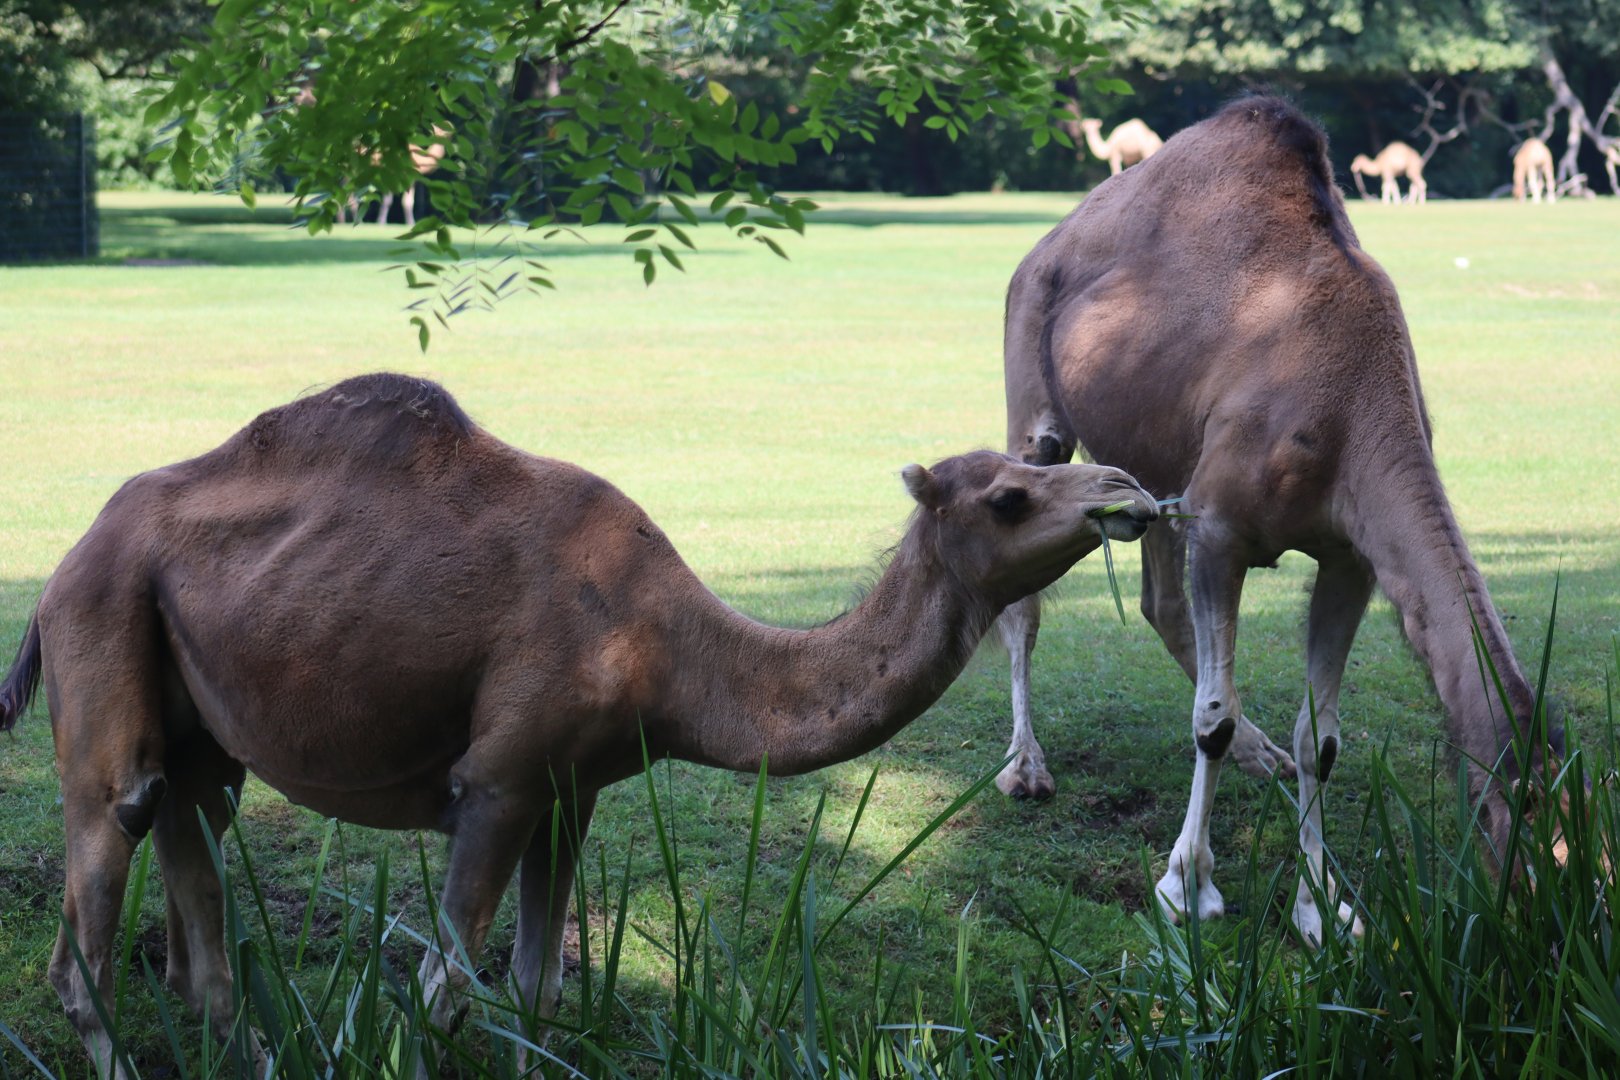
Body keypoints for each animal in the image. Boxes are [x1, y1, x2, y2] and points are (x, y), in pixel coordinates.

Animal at [0, 373, 1156, 1079]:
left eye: (1036, 469)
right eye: (1008, 496)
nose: (1127, 488)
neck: (669, 643)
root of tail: (64, 567)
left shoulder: (573, 789)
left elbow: (537, 985)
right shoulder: (500, 779)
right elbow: (443, 988)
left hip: (197, 722)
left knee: (198, 893)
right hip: (103, 624)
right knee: (100, 880)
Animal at [994, 97, 1557, 945]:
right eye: (1522, 818)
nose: (1559, 922)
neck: (1352, 404)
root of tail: (1053, 234)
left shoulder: (1350, 556)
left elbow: (1320, 737)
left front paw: (1324, 907)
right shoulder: (1221, 527)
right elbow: (1210, 719)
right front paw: (1186, 888)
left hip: (1153, 465)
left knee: (1160, 601)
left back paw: (1265, 761)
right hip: (1037, 393)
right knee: (1025, 585)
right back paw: (1026, 768)